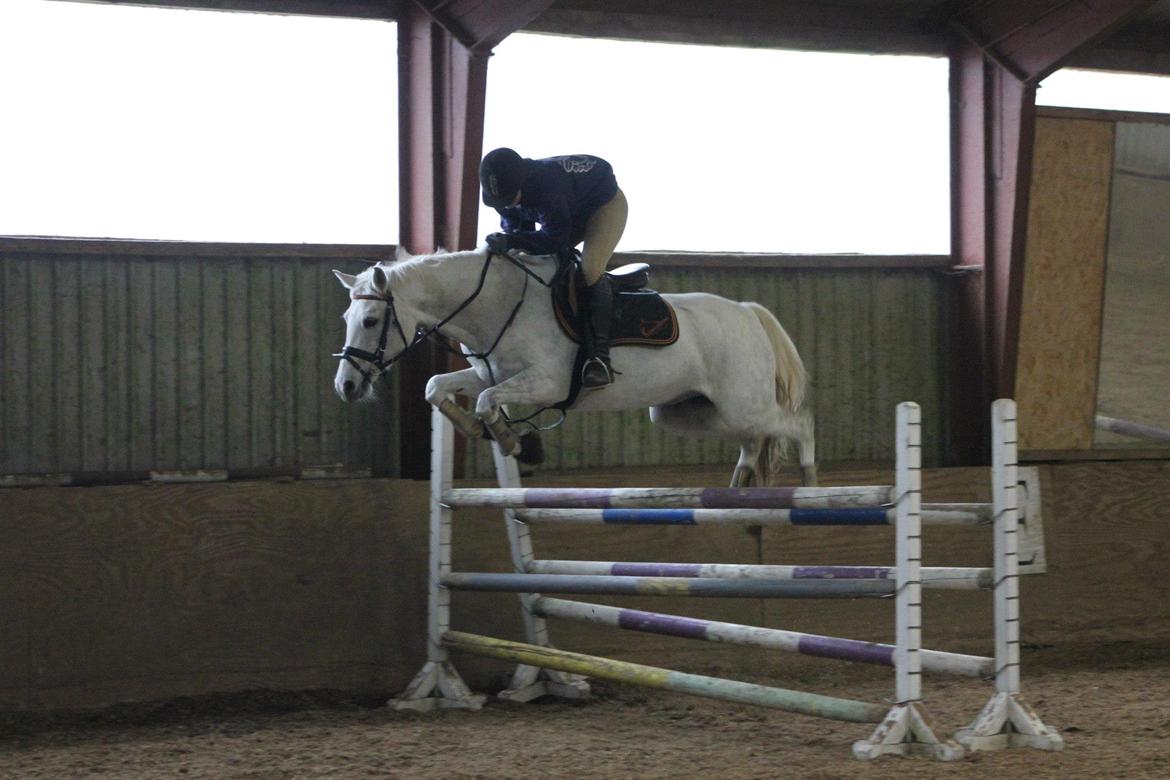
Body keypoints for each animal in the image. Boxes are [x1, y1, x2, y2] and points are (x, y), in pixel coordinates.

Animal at [332, 246, 816, 487]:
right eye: (346, 318)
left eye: (371, 320)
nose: (347, 386)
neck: (498, 304)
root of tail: (748, 313)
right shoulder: (495, 373)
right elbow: (437, 386)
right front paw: (482, 430)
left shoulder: (545, 383)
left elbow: (487, 400)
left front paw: (515, 440)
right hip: (688, 413)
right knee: (751, 445)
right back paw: (739, 490)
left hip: (741, 405)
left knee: (799, 425)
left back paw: (810, 484)